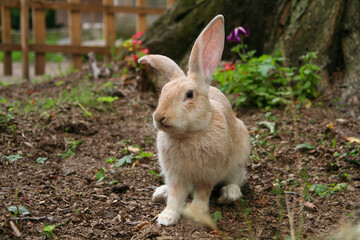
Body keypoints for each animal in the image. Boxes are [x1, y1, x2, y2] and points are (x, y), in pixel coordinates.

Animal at [138, 14, 250, 227]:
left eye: (189, 95)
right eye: (163, 93)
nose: (159, 117)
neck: (189, 133)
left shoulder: (208, 174)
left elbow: (202, 193)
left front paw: (196, 213)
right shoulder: (175, 175)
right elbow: (175, 195)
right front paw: (166, 217)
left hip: (239, 157)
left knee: (236, 179)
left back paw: (229, 194)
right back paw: (160, 192)